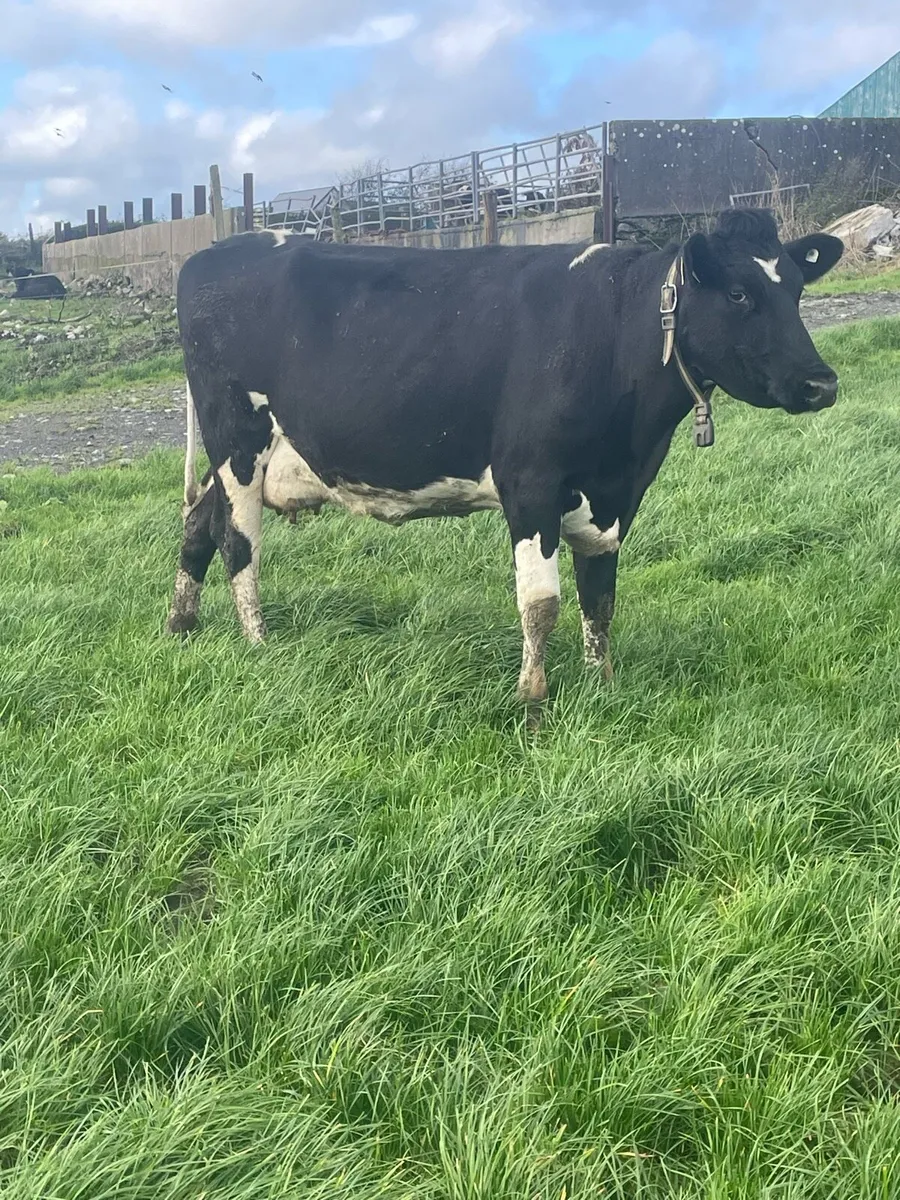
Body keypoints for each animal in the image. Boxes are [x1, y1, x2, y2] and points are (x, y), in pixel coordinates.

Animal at [167, 209, 843, 713]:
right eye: (739, 293)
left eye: (796, 290)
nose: (822, 384)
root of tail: (211, 252)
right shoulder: (530, 483)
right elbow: (541, 604)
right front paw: (533, 700)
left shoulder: (617, 493)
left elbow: (600, 597)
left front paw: (603, 687)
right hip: (238, 443)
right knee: (238, 543)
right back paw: (259, 645)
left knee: (198, 525)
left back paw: (181, 626)